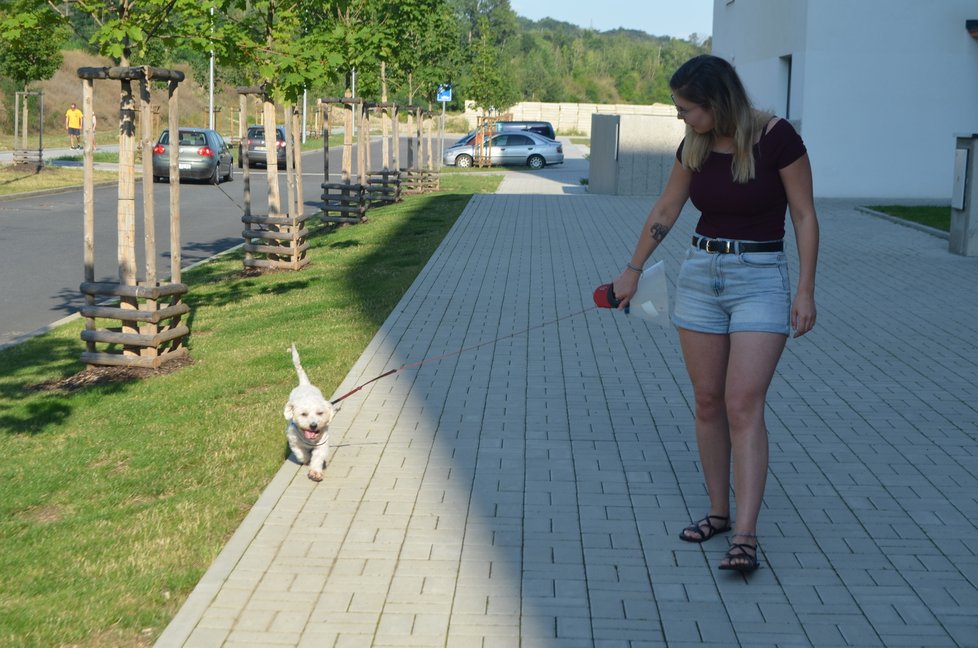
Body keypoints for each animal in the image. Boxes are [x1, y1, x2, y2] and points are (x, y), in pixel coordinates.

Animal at [284, 344, 338, 480]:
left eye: (320, 413)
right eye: (303, 414)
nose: (313, 425)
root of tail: (304, 384)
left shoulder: (322, 444)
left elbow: (317, 457)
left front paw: (315, 472)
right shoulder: (293, 440)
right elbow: (300, 452)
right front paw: (306, 458)